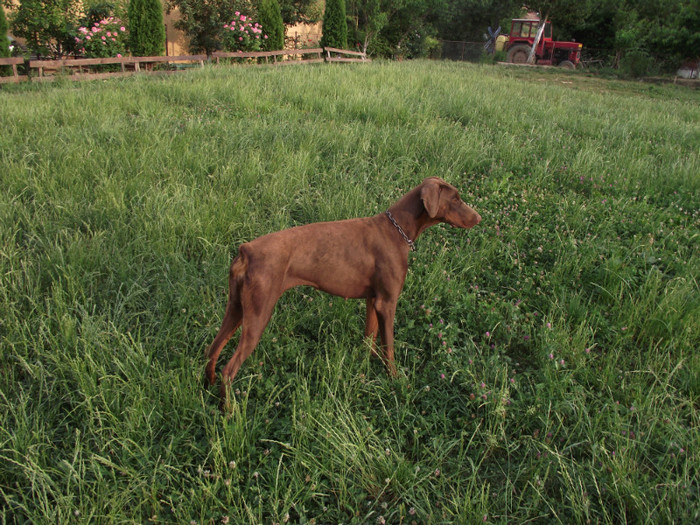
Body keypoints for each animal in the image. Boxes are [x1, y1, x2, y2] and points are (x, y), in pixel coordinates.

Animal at [206, 178, 482, 404]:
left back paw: (209, 390)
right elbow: (389, 348)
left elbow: (369, 340)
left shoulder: (372, 300)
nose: (479, 218)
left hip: (236, 309)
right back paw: (229, 413)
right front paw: (394, 381)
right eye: (455, 199)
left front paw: (364, 372)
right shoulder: (387, 302)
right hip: (258, 314)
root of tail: (246, 251)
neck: (397, 230)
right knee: (228, 370)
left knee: (213, 350)